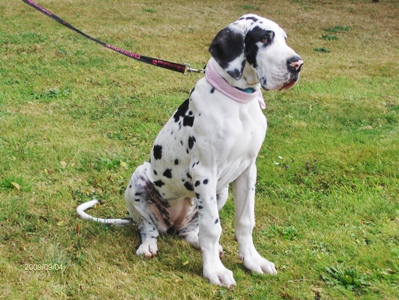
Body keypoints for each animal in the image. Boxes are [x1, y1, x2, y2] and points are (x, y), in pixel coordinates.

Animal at [77, 14, 304, 288]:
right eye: (263, 39)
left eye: (284, 38)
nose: (297, 64)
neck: (238, 103)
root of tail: (172, 225)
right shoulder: (205, 172)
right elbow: (212, 227)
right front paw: (214, 271)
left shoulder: (248, 170)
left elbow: (245, 221)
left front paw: (252, 261)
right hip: (139, 180)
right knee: (148, 227)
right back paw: (149, 245)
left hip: (220, 190)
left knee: (191, 230)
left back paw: (197, 242)